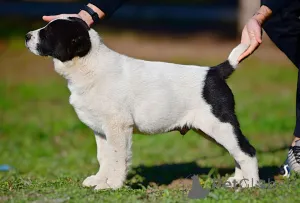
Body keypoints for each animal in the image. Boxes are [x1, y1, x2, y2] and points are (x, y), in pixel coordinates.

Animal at [25, 16, 260, 190]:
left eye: (48, 33)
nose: (26, 36)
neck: (89, 64)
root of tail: (215, 72)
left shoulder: (118, 127)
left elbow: (117, 158)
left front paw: (112, 185)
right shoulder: (101, 130)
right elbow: (104, 157)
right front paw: (100, 180)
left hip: (220, 124)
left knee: (246, 150)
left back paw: (251, 184)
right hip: (210, 129)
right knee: (236, 151)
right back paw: (238, 180)